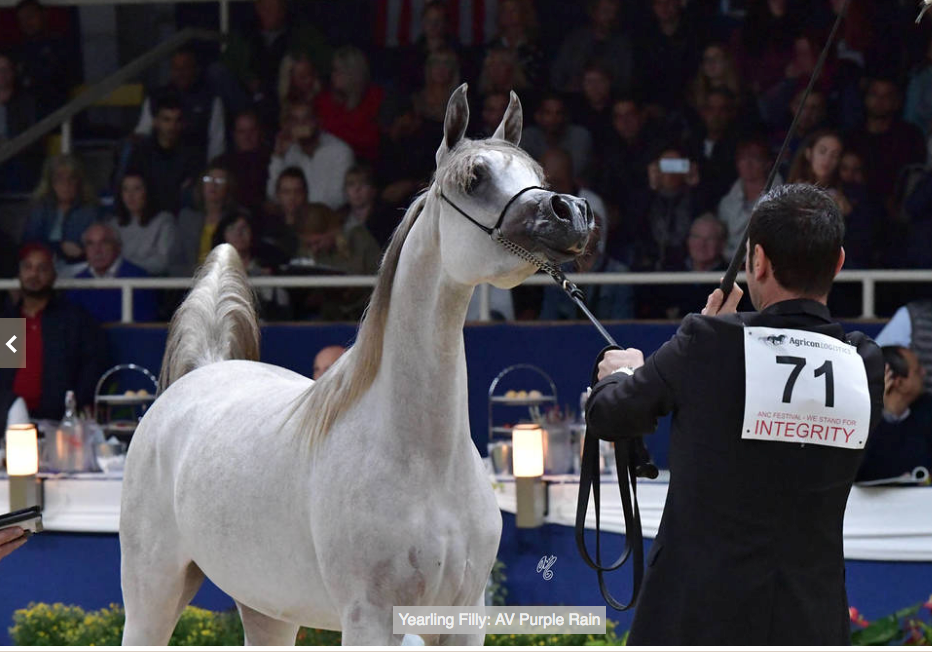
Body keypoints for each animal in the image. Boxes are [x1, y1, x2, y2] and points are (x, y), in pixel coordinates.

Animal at [120, 85, 592, 648]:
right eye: (474, 177)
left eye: (536, 173)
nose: (570, 212)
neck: (422, 458)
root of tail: (201, 372)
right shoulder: (368, 618)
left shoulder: (464, 619)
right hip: (153, 592)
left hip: (267, 609)